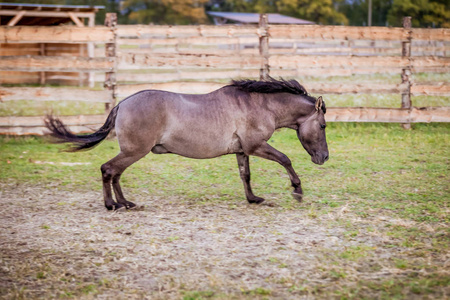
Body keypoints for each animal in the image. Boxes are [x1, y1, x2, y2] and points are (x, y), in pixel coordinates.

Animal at [44, 77, 326, 211]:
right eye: (323, 126)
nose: (324, 157)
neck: (259, 105)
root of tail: (121, 104)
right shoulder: (256, 146)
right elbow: (285, 159)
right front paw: (297, 191)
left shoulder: (242, 150)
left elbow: (245, 175)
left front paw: (253, 199)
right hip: (135, 151)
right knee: (108, 170)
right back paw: (113, 205)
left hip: (132, 152)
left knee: (115, 173)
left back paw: (125, 203)